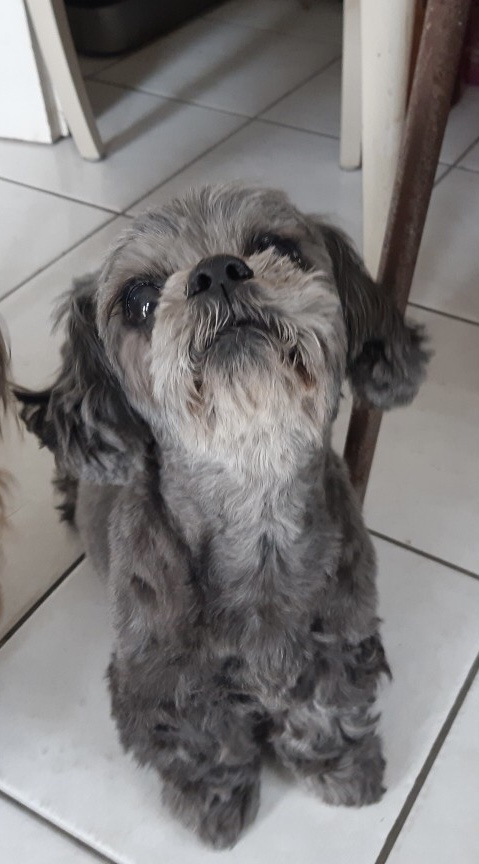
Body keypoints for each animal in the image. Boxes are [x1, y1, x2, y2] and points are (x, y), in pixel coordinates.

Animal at [18, 184, 429, 848]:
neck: (254, 508)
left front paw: (341, 768)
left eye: (276, 247)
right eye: (139, 299)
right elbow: (205, 746)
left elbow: (327, 710)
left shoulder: (339, 640)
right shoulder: (167, 686)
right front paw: (218, 807)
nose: (216, 271)